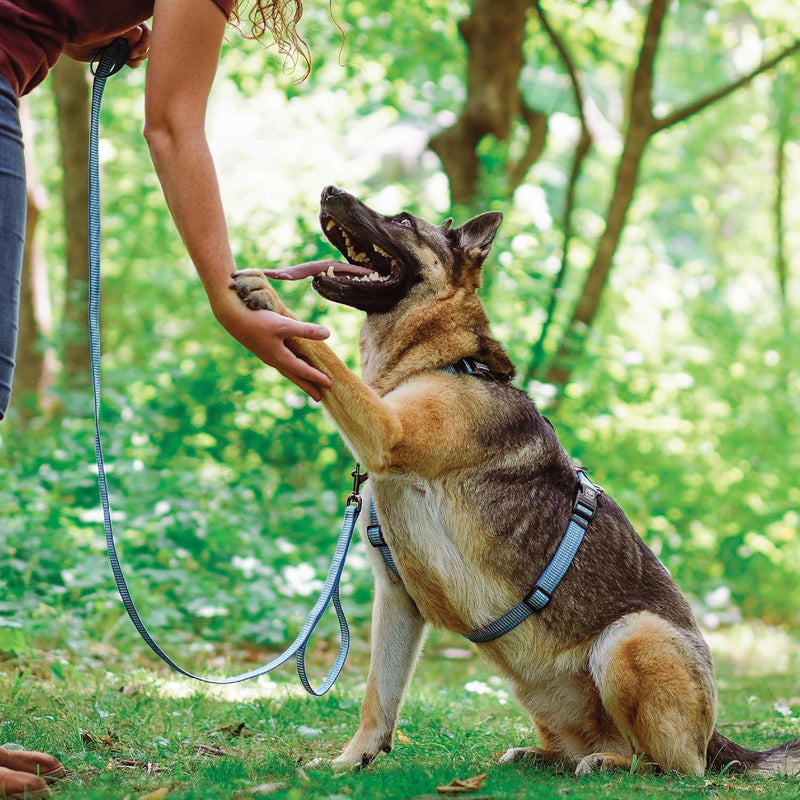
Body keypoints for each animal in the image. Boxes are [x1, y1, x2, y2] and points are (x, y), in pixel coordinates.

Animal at [230, 186, 800, 776]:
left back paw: (617, 764)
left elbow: (326, 359)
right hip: (533, 688)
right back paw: (539, 755)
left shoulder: (387, 430)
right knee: (581, 746)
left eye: (403, 220)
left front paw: (269, 297)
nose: (329, 191)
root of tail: (715, 741)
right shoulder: (397, 599)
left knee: (675, 765)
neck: (442, 361)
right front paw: (351, 761)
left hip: (631, 637)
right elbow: (377, 698)